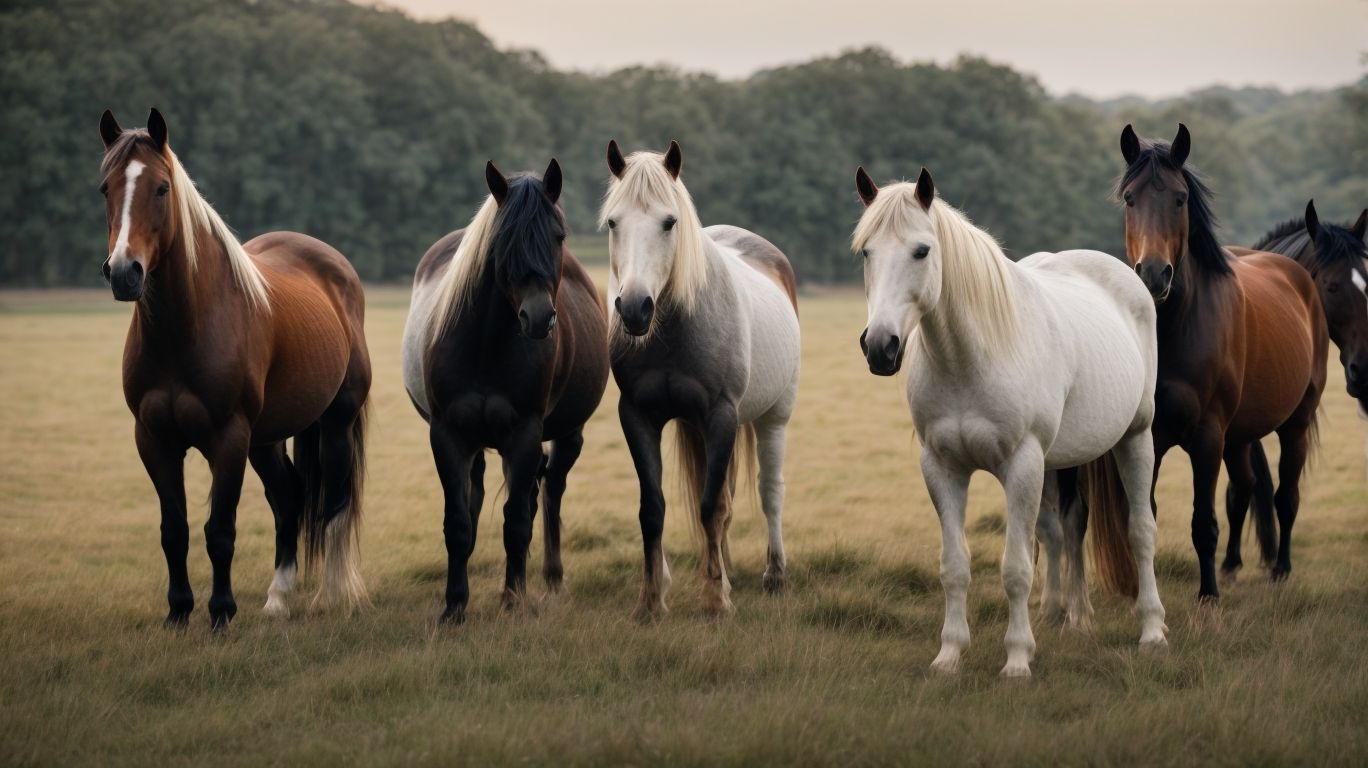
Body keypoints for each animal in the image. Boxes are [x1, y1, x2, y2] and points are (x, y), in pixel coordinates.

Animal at [98, 109, 370, 630]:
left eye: (161, 188)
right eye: (106, 188)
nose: (124, 273)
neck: (185, 330)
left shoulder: (228, 439)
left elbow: (220, 530)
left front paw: (221, 613)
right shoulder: (154, 440)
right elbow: (174, 530)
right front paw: (178, 613)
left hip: (335, 425)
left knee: (334, 505)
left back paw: (332, 595)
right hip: (266, 440)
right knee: (290, 498)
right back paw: (278, 597)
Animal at [402, 159, 608, 624]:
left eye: (559, 236)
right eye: (501, 240)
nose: (539, 318)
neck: (485, 345)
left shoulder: (525, 435)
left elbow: (516, 521)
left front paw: (513, 598)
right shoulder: (447, 435)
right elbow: (458, 520)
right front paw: (454, 605)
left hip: (567, 436)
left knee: (549, 495)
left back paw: (550, 581)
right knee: (479, 494)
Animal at [601, 140, 800, 619]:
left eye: (669, 222)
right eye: (614, 222)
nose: (634, 309)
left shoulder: (721, 416)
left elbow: (711, 507)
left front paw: (714, 601)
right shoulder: (638, 417)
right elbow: (654, 508)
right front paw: (652, 601)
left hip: (773, 416)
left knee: (769, 493)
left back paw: (774, 575)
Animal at [853, 166, 1166, 677]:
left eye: (922, 250)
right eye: (866, 251)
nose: (880, 347)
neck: (968, 359)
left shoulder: (1021, 464)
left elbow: (1016, 569)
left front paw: (1017, 659)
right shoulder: (941, 467)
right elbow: (955, 566)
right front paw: (949, 654)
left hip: (1135, 438)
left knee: (1140, 531)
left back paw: (1152, 630)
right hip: (1061, 460)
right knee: (1065, 530)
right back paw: (1068, 615)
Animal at [1117, 124, 1327, 597]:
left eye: (1180, 198)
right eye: (1130, 199)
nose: (1153, 275)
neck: (1175, 329)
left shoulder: (1208, 437)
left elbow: (1203, 522)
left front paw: (1208, 594)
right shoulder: (1152, 437)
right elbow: (1147, 517)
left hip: (1295, 423)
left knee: (1286, 497)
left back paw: (1280, 570)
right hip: (1241, 434)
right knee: (1244, 490)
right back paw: (1233, 566)